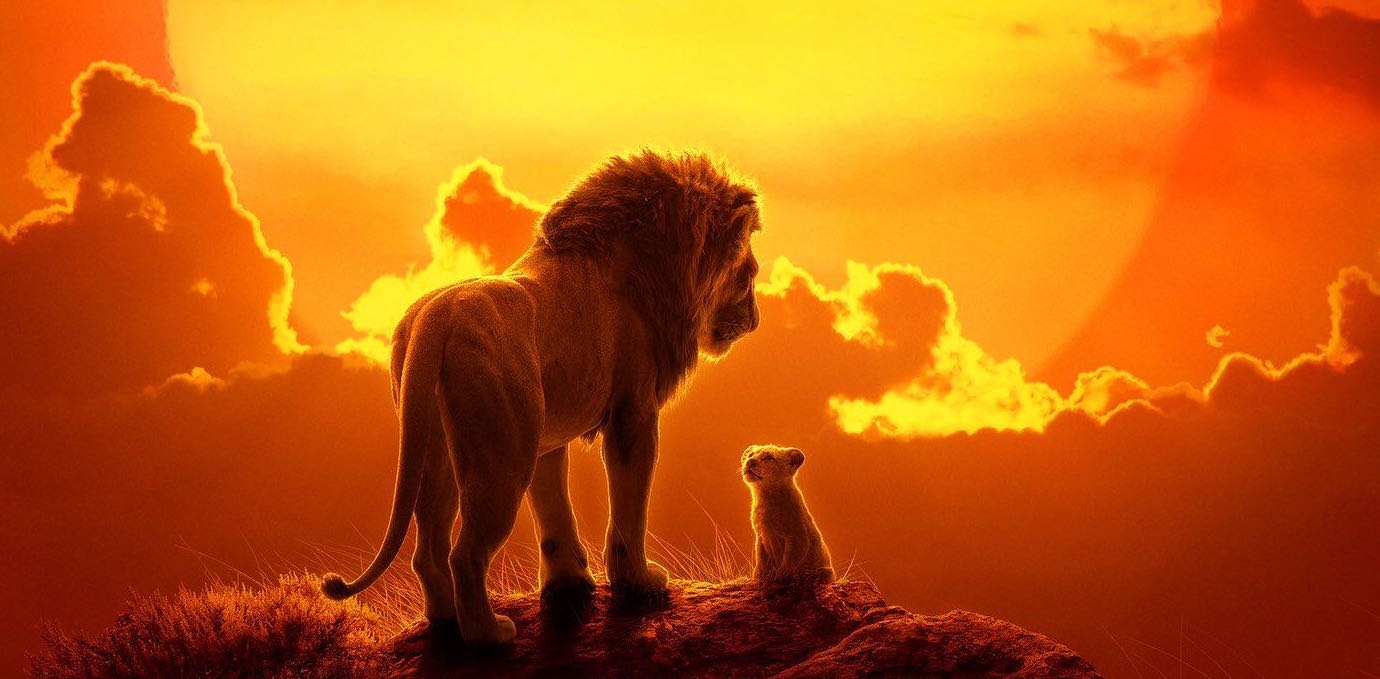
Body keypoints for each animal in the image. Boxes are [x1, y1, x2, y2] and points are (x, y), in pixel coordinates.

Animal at [322, 151, 762, 644]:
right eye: (749, 275)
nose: (756, 320)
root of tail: (435, 319)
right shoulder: (633, 412)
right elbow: (629, 507)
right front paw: (640, 583)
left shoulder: (546, 435)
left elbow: (553, 510)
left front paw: (568, 583)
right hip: (502, 457)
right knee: (466, 554)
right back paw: (489, 635)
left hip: (437, 449)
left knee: (429, 549)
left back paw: (446, 622)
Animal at [741, 445, 834, 585]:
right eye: (750, 454)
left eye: (769, 457)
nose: (750, 462)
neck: (765, 497)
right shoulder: (760, 537)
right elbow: (761, 560)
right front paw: (759, 577)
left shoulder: (798, 536)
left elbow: (789, 561)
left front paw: (781, 578)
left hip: (826, 570)